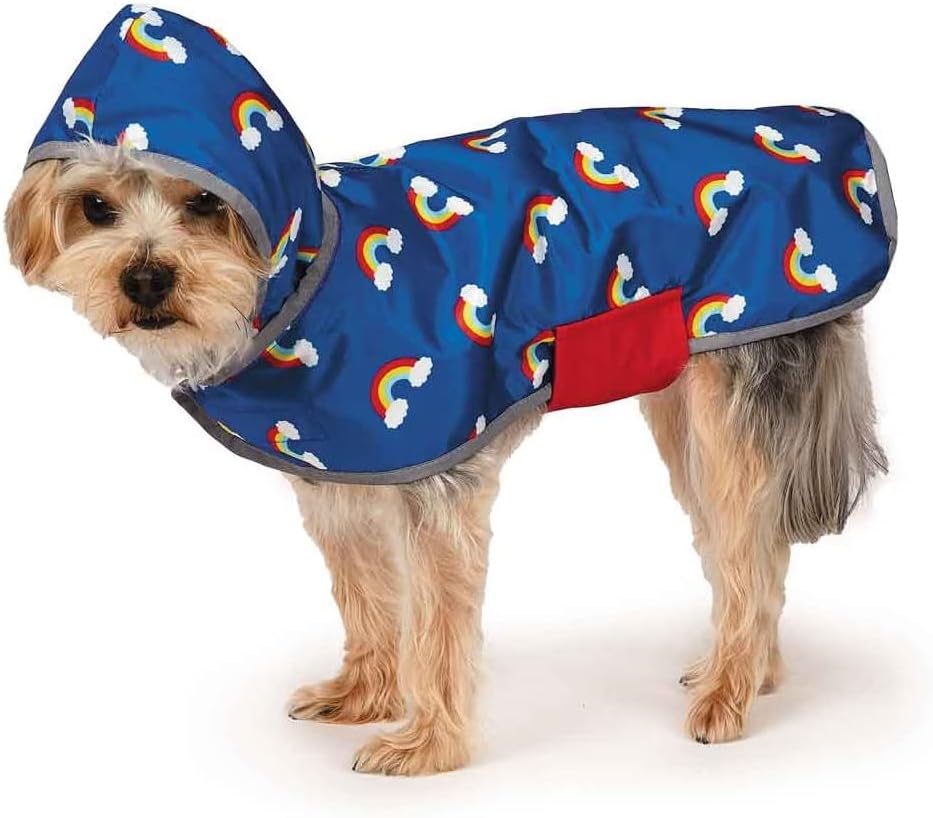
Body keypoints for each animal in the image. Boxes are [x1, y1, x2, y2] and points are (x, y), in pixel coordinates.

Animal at [6, 6, 891, 775]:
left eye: (202, 205)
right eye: (95, 207)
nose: (145, 279)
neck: (303, 282)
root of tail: (830, 131)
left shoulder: (436, 489)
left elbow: (434, 624)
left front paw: (426, 745)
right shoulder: (336, 473)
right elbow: (364, 594)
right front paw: (363, 693)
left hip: (731, 397)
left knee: (747, 542)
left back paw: (727, 693)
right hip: (679, 401)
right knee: (751, 543)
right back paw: (749, 671)